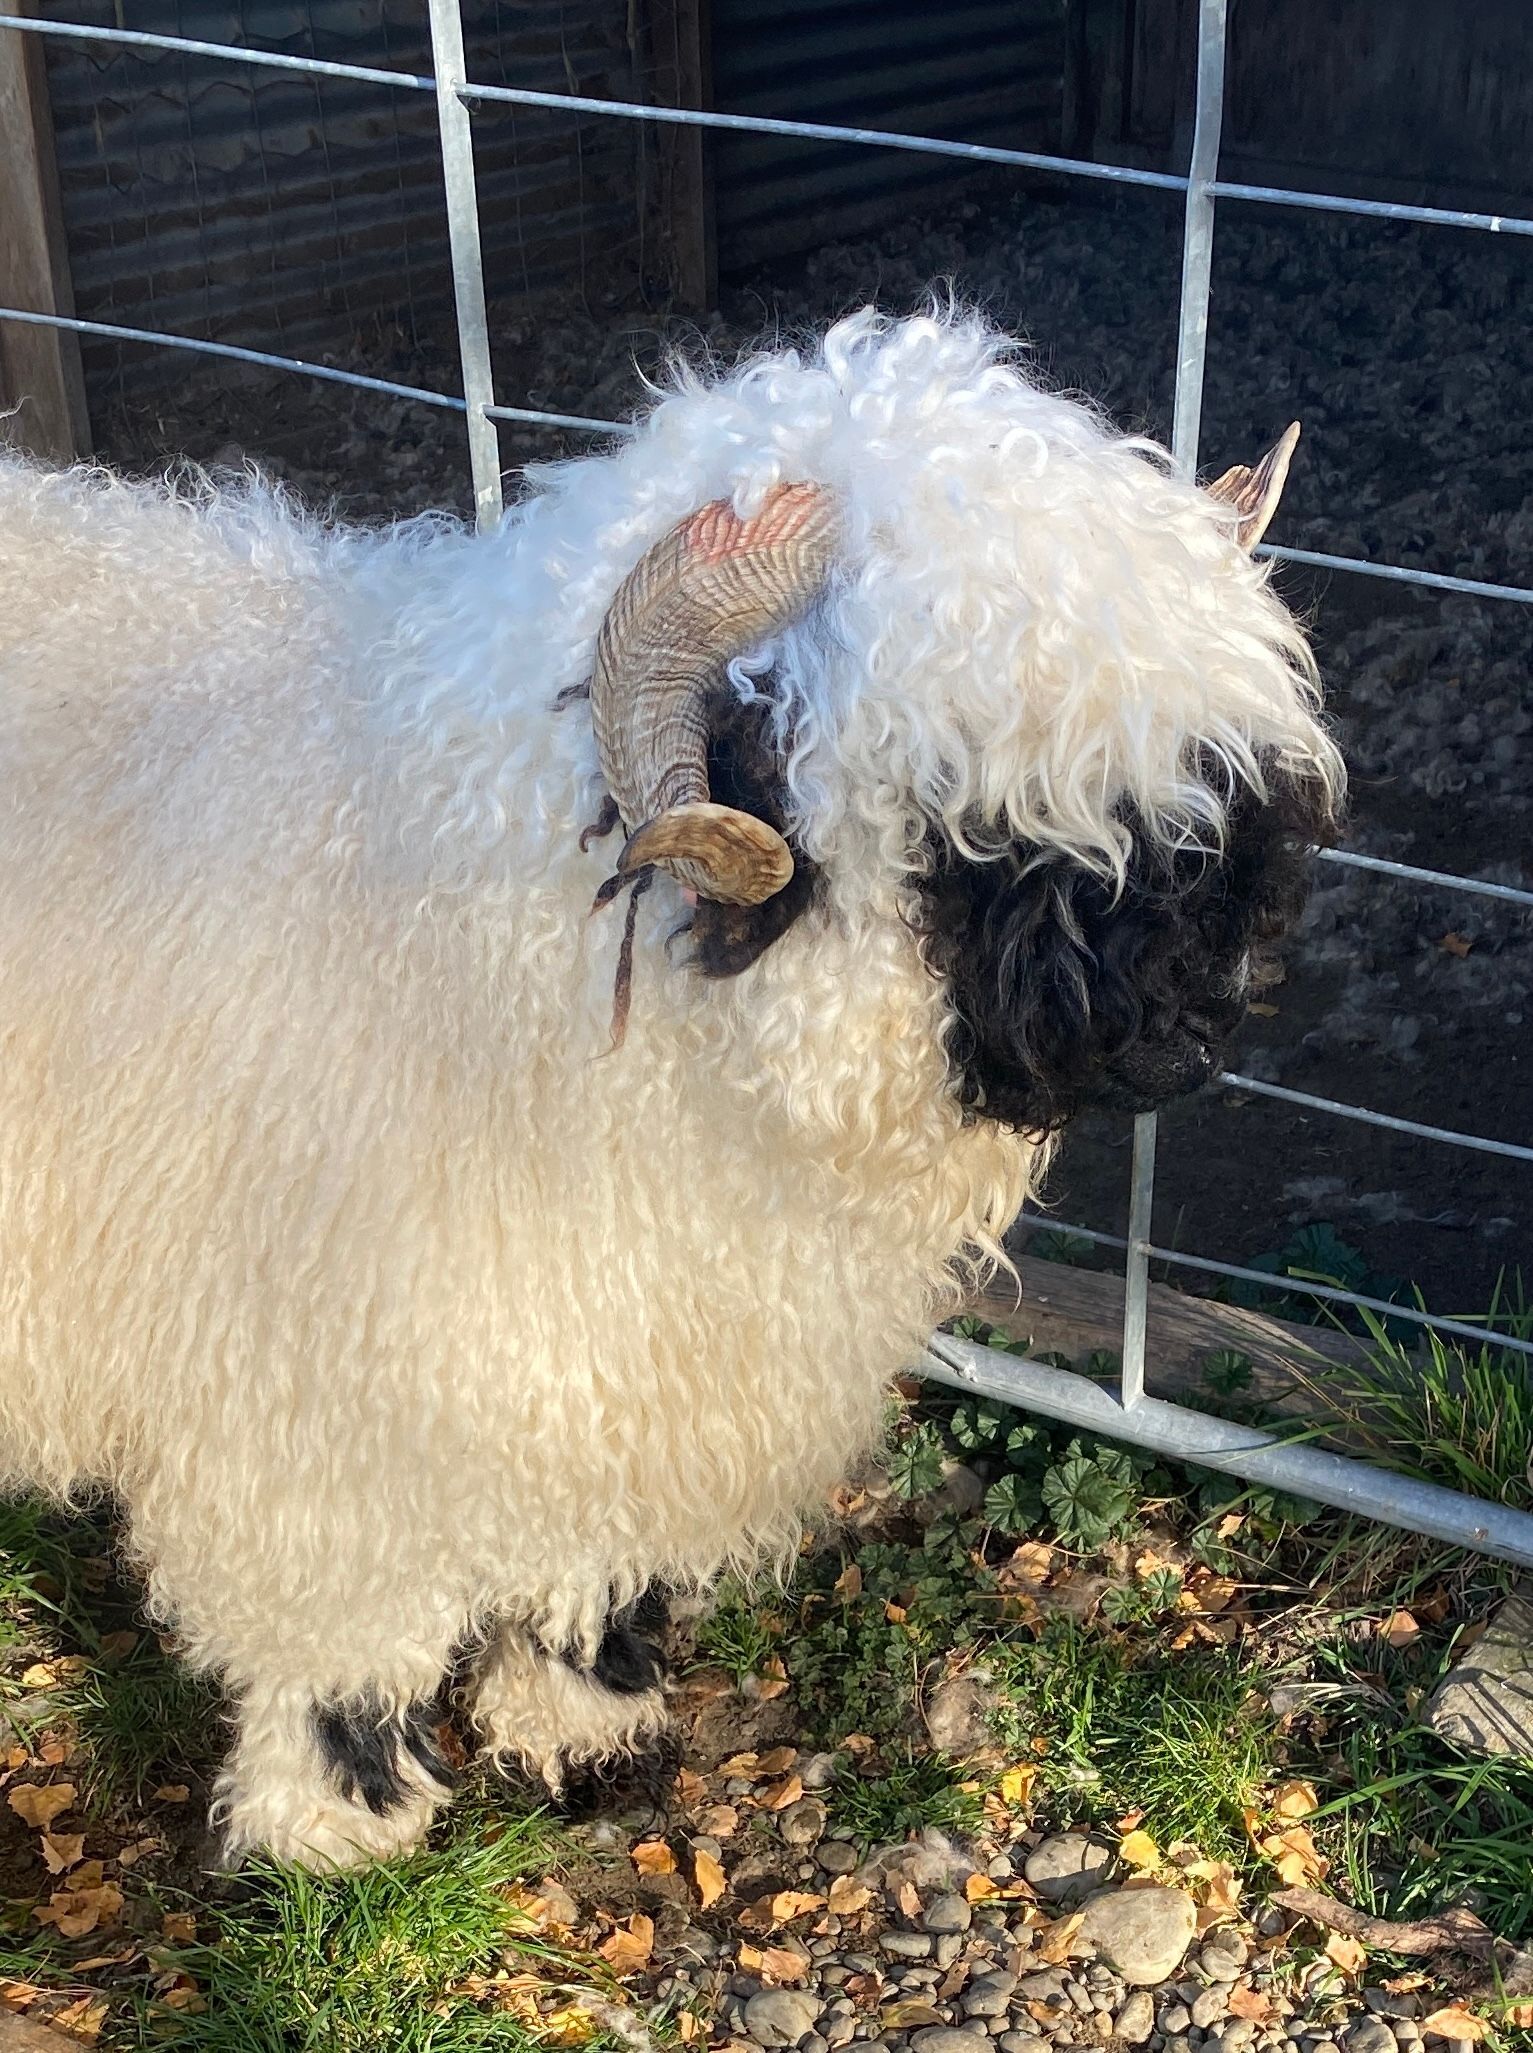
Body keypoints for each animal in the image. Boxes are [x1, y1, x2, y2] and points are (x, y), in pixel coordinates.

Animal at [0, 312, 1346, 1872]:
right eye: (955, 793)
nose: (1189, 1030)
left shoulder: (620, 1355)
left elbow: (581, 1564)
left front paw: (580, 1717)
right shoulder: (309, 1390)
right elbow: (339, 1623)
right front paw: (337, 1815)